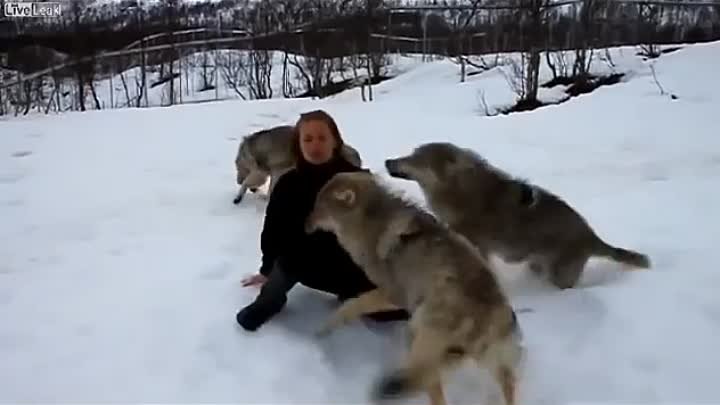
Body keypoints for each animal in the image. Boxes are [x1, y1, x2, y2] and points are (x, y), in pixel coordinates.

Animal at [233, 123, 362, 204]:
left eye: (238, 169)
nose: (237, 181)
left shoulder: (263, 172)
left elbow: (248, 183)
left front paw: (239, 197)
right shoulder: (274, 172)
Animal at [304, 170, 524, 404]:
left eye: (318, 207)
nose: (304, 224)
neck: (371, 221)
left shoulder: (392, 294)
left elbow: (351, 306)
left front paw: (323, 330)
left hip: (416, 337)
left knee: (430, 384)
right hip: (484, 358)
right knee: (507, 382)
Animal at [386, 140, 648, 288]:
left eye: (414, 157)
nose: (388, 161)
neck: (461, 191)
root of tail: (592, 236)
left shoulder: (478, 247)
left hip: (558, 275)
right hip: (536, 265)